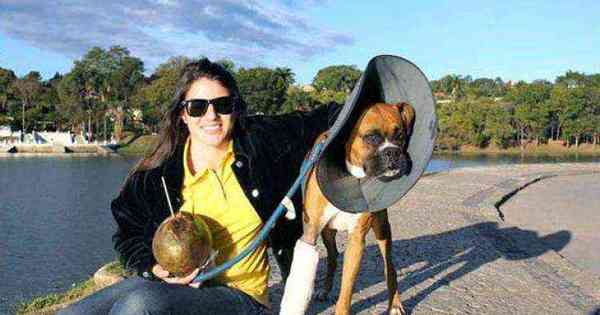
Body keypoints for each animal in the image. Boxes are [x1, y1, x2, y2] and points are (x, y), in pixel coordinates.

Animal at [282, 102, 418, 314]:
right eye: (372, 137)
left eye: (401, 136)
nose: (393, 152)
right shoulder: (311, 232)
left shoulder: (356, 240)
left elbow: (347, 288)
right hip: (327, 233)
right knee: (332, 257)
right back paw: (325, 290)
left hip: (382, 230)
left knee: (390, 267)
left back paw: (395, 304)